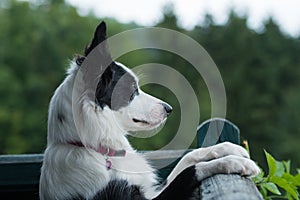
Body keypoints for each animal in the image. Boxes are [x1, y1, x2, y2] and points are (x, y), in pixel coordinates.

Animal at [39, 22, 260, 200]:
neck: (97, 149)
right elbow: (189, 173)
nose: (169, 109)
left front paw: (229, 148)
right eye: (132, 90)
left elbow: (187, 160)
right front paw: (233, 162)